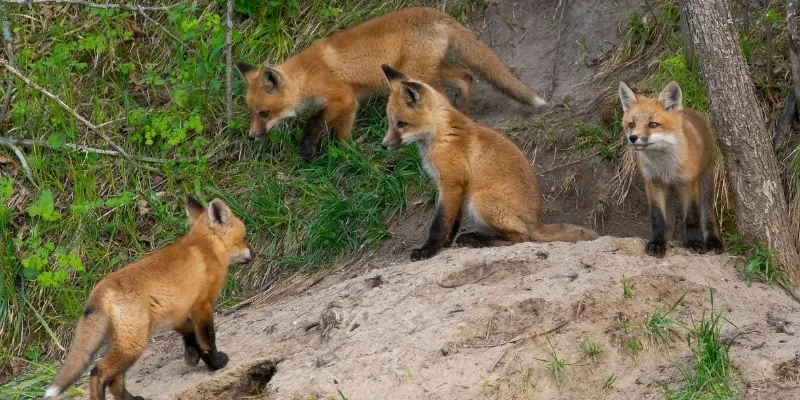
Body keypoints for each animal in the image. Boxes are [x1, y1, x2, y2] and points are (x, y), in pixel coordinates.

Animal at [44, 197, 256, 400]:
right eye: (245, 237)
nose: (255, 253)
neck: (206, 246)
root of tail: (100, 288)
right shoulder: (202, 304)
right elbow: (207, 338)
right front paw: (216, 362)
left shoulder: (175, 310)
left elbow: (189, 331)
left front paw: (192, 354)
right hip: (133, 344)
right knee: (98, 373)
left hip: (124, 341)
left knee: (114, 380)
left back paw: (131, 398)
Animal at [234, 6, 548, 162]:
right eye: (252, 113)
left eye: (263, 113)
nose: (250, 137)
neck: (307, 75)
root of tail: (435, 12)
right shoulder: (350, 105)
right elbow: (341, 134)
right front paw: (348, 153)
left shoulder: (343, 98)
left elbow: (315, 122)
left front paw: (310, 149)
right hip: (426, 70)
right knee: (466, 79)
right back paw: (465, 115)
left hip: (417, 75)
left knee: (445, 98)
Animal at [380, 64, 592, 260]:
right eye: (390, 123)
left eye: (401, 124)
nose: (383, 145)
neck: (443, 135)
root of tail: (538, 221)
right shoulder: (456, 187)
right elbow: (453, 220)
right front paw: (446, 243)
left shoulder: (451, 184)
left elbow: (440, 223)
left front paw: (428, 249)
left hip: (479, 199)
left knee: (522, 238)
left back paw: (477, 239)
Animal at [620, 79, 724, 258]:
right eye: (631, 124)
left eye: (653, 124)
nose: (633, 138)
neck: (665, 167)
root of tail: (691, 110)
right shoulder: (652, 181)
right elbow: (658, 218)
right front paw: (657, 243)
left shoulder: (689, 182)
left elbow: (691, 217)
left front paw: (695, 242)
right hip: (668, 190)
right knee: (668, 219)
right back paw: (667, 239)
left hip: (706, 181)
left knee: (707, 216)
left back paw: (712, 241)